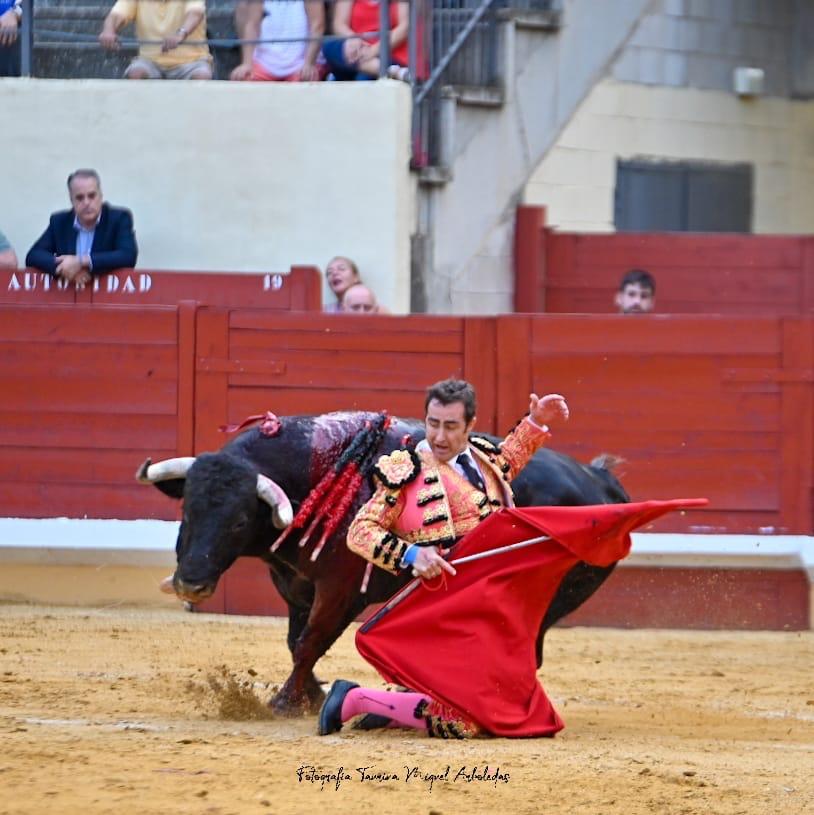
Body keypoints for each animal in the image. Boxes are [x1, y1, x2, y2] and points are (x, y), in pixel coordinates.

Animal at [137, 414, 632, 712]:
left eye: (240, 520)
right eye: (187, 511)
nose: (191, 584)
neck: (310, 476)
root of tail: (601, 480)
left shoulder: (340, 592)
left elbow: (311, 641)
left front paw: (286, 701)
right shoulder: (296, 586)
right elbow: (296, 641)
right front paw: (311, 694)